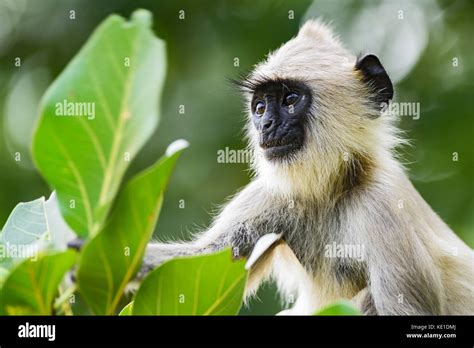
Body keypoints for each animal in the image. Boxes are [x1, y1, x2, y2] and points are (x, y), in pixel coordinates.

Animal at [141, 20, 474, 316]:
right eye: (260, 107)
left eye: (290, 99)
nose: (265, 125)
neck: (333, 191)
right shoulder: (271, 196)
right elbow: (201, 262)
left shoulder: (383, 204)